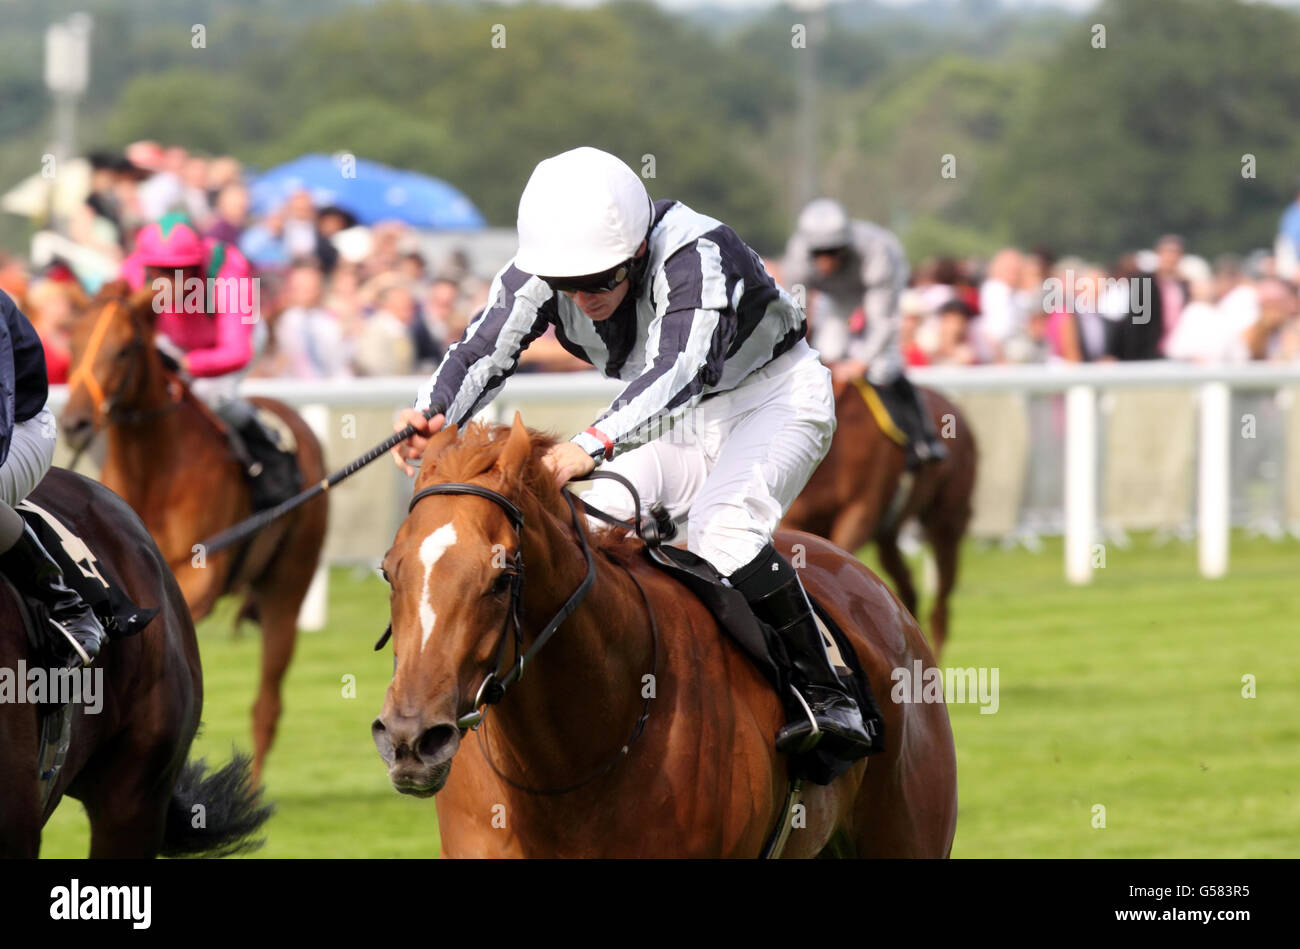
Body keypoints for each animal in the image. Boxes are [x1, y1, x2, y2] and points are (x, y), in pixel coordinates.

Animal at [61, 280, 330, 774]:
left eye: (124, 349)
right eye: (71, 343)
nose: (76, 423)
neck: (152, 469)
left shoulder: (198, 575)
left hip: (288, 585)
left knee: (267, 704)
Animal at [780, 379, 977, 655]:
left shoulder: (859, 513)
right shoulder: (798, 520)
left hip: (946, 523)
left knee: (941, 602)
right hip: (889, 534)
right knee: (907, 587)